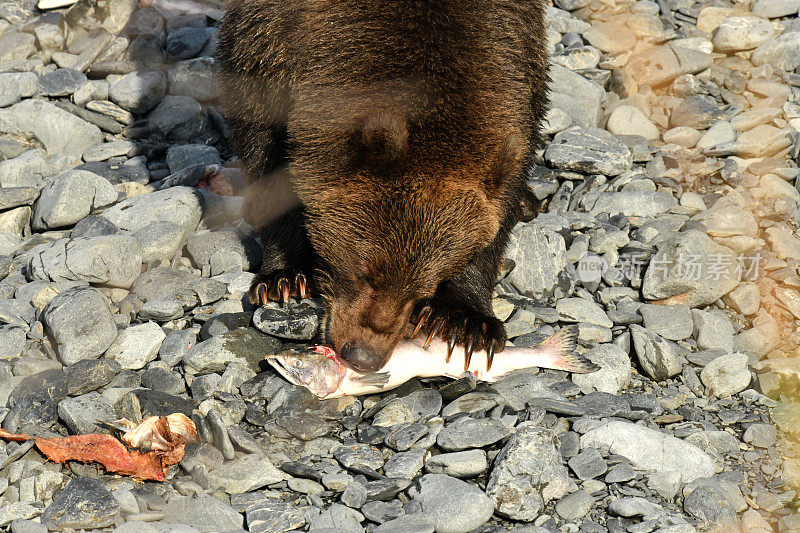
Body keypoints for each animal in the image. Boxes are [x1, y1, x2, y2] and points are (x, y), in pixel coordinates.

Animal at [216, 0, 548, 372]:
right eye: (366, 272)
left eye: (425, 287)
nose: (363, 355)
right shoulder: (266, 44)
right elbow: (265, 152)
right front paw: (285, 278)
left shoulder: (517, 61)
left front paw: (466, 321)